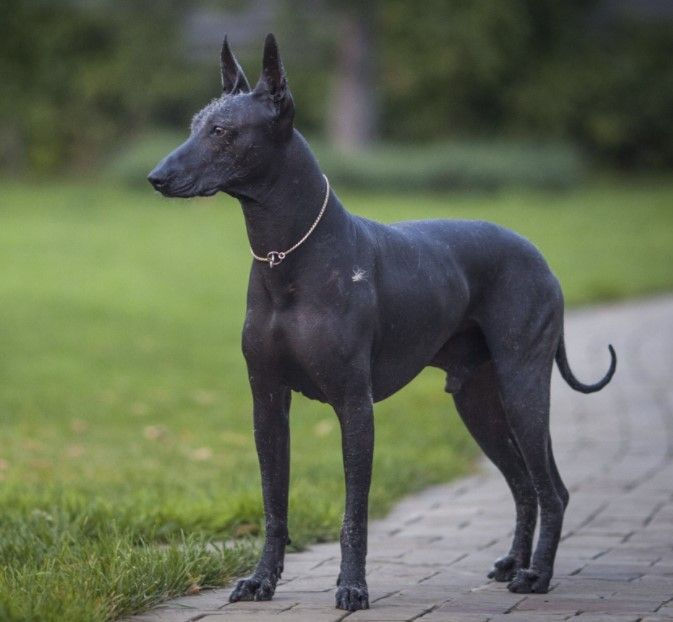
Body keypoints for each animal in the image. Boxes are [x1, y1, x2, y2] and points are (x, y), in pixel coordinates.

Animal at [148, 34, 616, 616]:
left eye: (222, 132)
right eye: (195, 125)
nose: (155, 177)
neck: (286, 256)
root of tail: (540, 257)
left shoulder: (355, 405)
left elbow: (355, 513)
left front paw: (352, 587)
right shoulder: (267, 403)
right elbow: (274, 503)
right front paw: (262, 581)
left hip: (522, 386)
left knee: (552, 489)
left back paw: (538, 575)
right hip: (478, 401)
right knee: (525, 485)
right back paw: (514, 562)